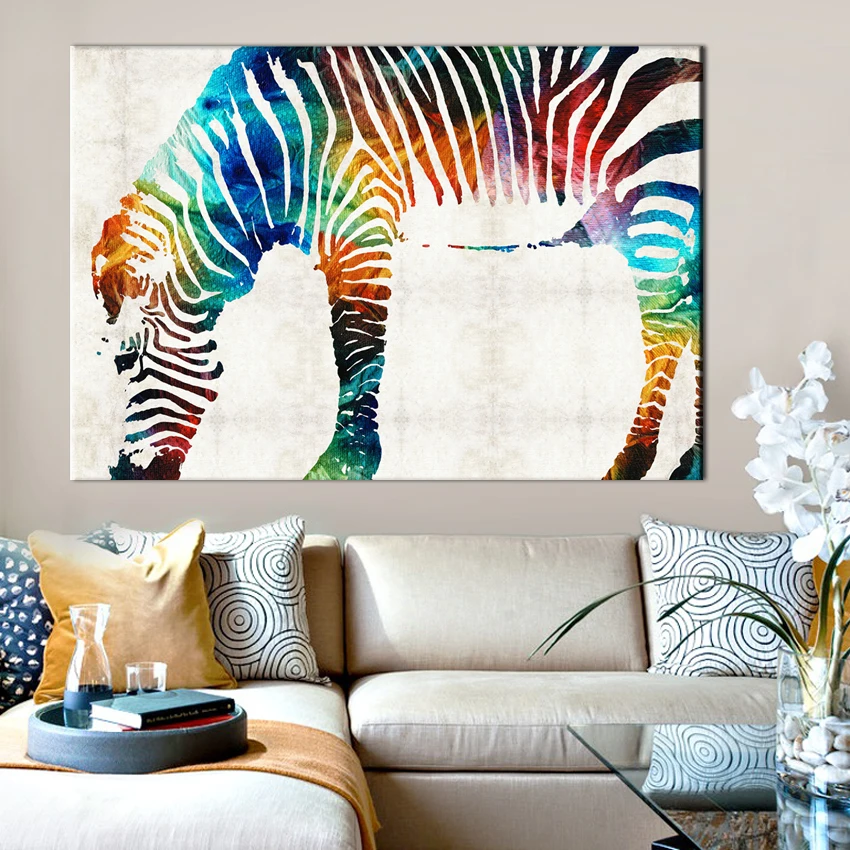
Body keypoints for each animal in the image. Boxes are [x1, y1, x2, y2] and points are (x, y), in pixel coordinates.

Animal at [90, 45, 702, 480]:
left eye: (126, 362)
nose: (123, 477)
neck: (270, 153)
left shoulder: (362, 221)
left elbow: (358, 344)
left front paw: (345, 463)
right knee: (688, 325)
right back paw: (684, 462)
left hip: (655, 199)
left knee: (666, 330)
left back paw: (632, 462)